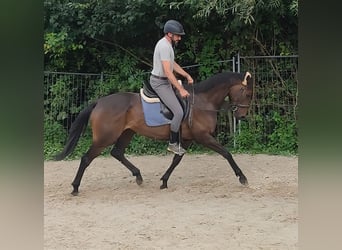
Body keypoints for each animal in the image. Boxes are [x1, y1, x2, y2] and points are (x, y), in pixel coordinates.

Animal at [55, 71, 254, 195]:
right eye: (248, 94)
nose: (242, 116)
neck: (202, 102)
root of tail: (100, 102)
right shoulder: (203, 137)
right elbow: (227, 153)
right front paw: (242, 177)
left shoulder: (187, 139)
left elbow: (176, 160)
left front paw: (164, 181)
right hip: (104, 138)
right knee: (86, 158)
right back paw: (75, 187)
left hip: (127, 133)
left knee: (117, 152)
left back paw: (138, 176)